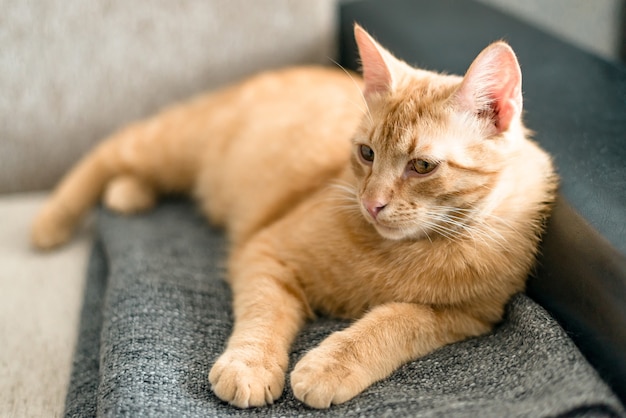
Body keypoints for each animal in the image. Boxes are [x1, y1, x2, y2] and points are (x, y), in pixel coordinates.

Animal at [31, 26, 552, 408]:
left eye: (421, 166)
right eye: (366, 153)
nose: (372, 203)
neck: (404, 251)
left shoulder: (466, 317)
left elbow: (394, 321)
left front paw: (330, 365)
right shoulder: (267, 251)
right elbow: (265, 313)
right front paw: (250, 366)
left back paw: (128, 193)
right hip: (174, 143)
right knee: (109, 150)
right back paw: (52, 221)